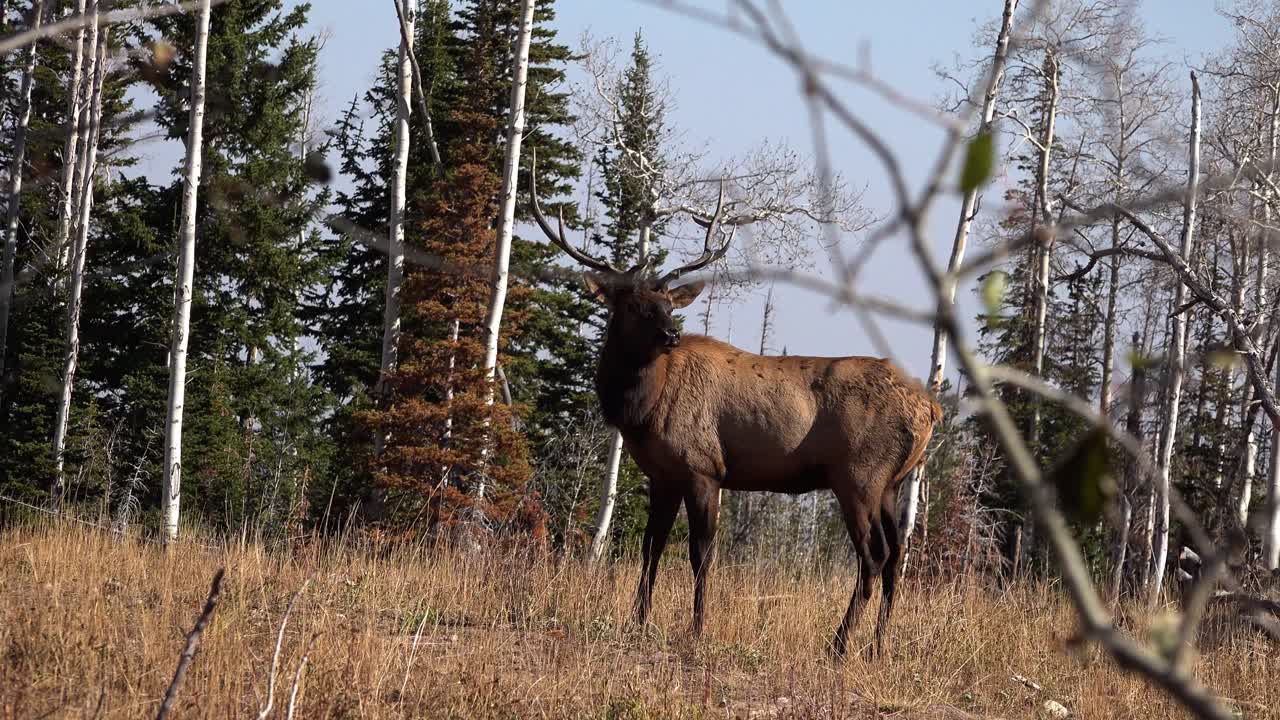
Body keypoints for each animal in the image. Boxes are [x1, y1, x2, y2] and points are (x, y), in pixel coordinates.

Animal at [530, 164, 942, 658]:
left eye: (666, 304)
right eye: (632, 305)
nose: (670, 334)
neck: (641, 409)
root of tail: (931, 408)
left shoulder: (704, 468)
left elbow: (700, 553)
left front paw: (696, 627)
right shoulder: (663, 475)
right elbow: (651, 548)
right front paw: (637, 621)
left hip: (858, 477)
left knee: (874, 556)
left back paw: (840, 644)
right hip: (890, 484)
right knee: (897, 556)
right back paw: (877, 645)